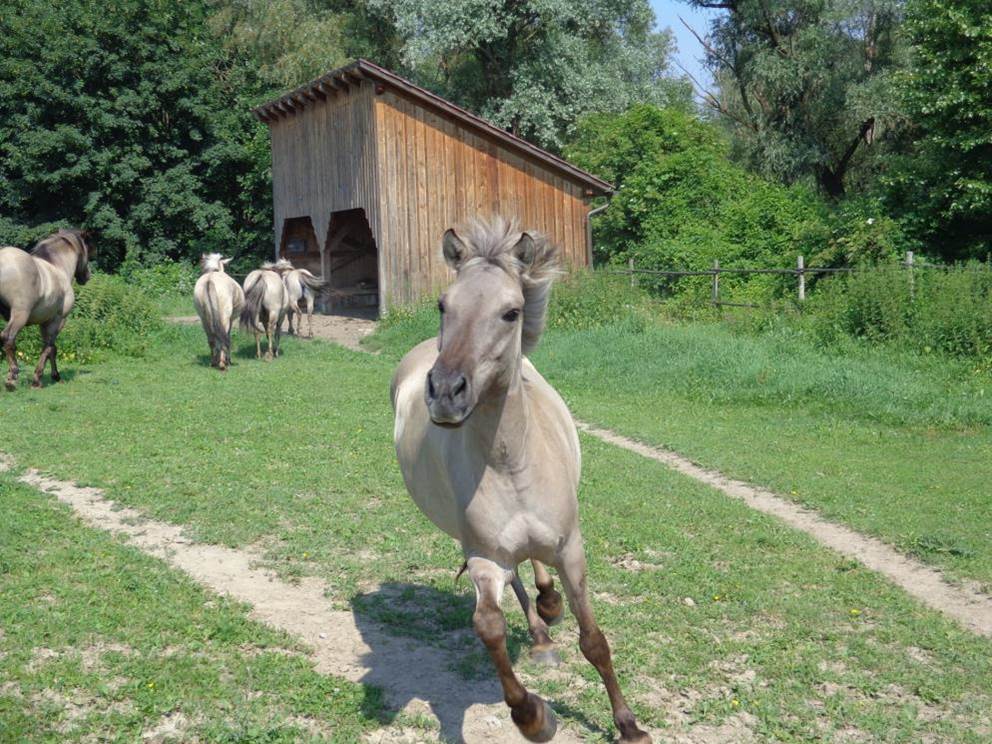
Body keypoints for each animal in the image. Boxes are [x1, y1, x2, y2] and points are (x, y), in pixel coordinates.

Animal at [0, 230, 92, 392]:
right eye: (86, 248)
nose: (87, 275)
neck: (58, 267)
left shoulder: (44, 323)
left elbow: (50, 348)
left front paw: (54, 375)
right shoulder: (58, 321)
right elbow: (49, 348)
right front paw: (38, 379)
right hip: (20, 315)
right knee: (8, 338)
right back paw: (12, 377)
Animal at [392, 217, 656, 744]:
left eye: (511, 312)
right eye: (443, 305)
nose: (446, 392)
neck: (509, 463)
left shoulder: (571, 547)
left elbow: (594, 641)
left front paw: (629, 725)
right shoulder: (484, 556)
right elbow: (489, 627)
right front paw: (533, 716)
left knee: (537, 573)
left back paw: (548, 609)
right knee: (516, 579)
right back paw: (539, 635)